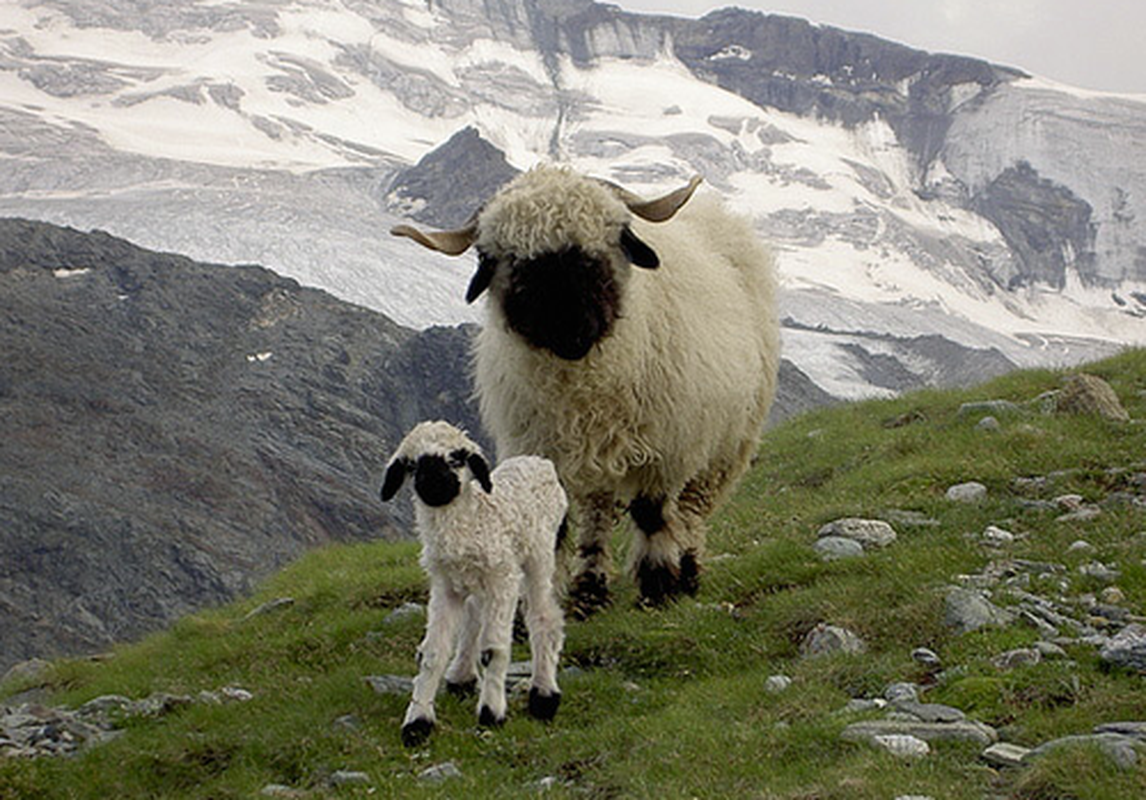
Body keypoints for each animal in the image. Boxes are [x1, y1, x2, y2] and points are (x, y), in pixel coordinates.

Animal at [380, 421, 568, 742]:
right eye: (412, 465)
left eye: (457, 458)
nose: (433, 482)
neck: (472, 520)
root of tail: (539, 461)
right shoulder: (445, 586)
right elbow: (432, 652)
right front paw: (417, 721)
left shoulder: (503, 578)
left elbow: (493, 649)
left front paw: (492, 713)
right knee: (474, 618)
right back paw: (462, 676)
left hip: (539, 555)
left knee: (544, 617)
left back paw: (543, 695)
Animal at [391, 161, 779, 609]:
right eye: (496, 258)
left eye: (616, 236)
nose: (571, 331)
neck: (582, 388)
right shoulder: (542, 448)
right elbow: (556, 526)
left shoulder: (663, 446)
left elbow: (651, 513)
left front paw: (658, 587)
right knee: (598, 510)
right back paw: (590, 586)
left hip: (725, 443)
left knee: (691, 510)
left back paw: (688, 570)